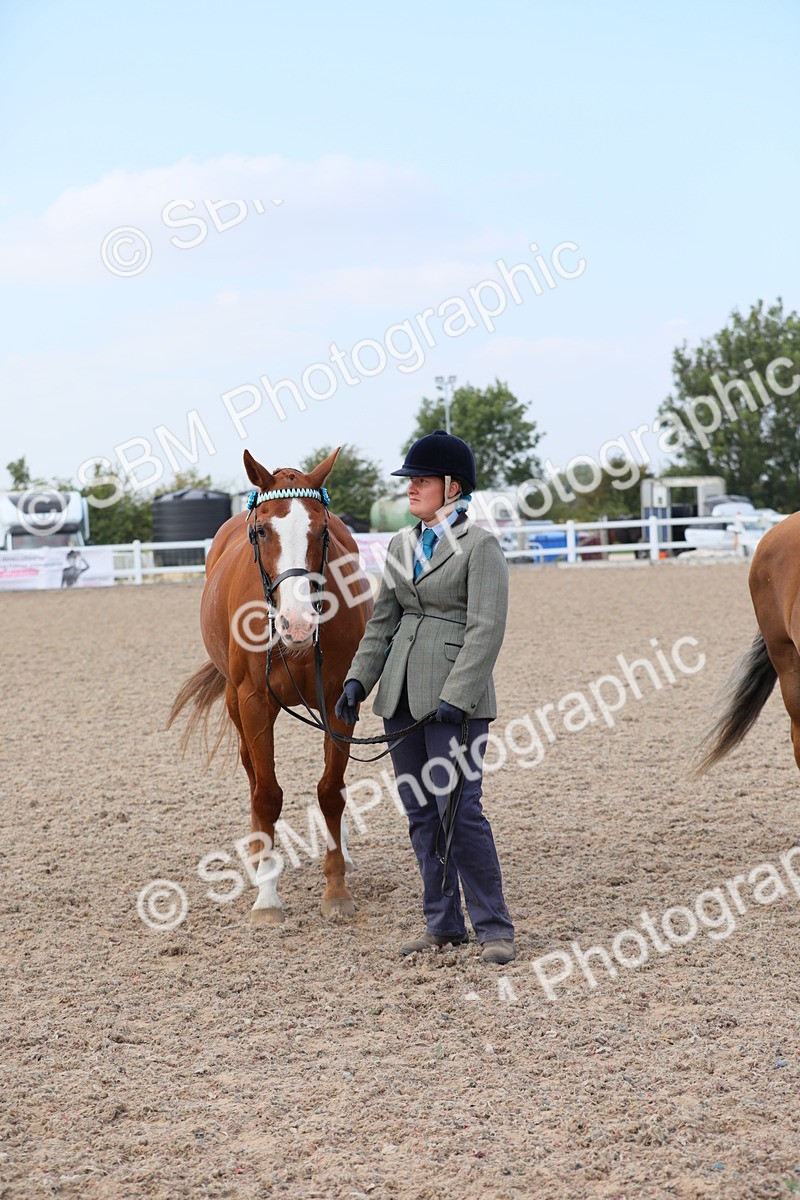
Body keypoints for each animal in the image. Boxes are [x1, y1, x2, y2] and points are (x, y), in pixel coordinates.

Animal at [167, 447, 374, 924]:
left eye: (322, 531)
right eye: (261, 531)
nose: (298, 624)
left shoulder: (340, 700)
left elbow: (330, 791)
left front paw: (336, 887)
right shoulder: (253, 700)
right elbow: (266, 795)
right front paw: (267, 897)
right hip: (233, 700)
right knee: (250, 771)